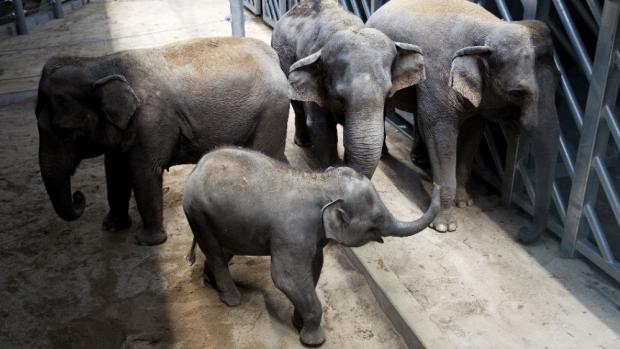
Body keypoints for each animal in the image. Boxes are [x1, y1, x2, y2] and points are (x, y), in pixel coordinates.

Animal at [35, 37, 290, 245]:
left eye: (65, 130)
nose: (78, 196)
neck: (101, 64)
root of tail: (274, 58)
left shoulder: (151, 120)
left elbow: (144, 171)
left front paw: (147, 241)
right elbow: (114, 169)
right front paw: (111, 227)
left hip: (272, 110)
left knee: (267, 153)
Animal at [182, 147, 438, 346]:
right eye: (376, 221)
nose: (435, 182)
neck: (320, 182)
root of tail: (197, 167)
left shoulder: (311, 235)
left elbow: (314, 269)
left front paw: (298, 323)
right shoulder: (293, 233)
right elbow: (286, 278)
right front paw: (314, 341)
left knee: (223, 250)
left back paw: (210, 282)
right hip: (197, 213)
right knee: (215, 252)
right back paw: (232, 300)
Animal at [272, 0, 426, 178]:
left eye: (388, 94)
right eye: (339, 97)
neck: (346, 26)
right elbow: (322, 128)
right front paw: (334, 170)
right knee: (297, 106)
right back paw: (303, 142)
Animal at [368, 0, 560, 242]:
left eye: (558, 85)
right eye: (517, 93)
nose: (521, 233)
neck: (491, 28)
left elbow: (472, 133)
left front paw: (465, 202)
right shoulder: (437, 79)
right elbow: (439, 132)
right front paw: (445, 226)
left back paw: (418, 159)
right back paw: (385, 154)